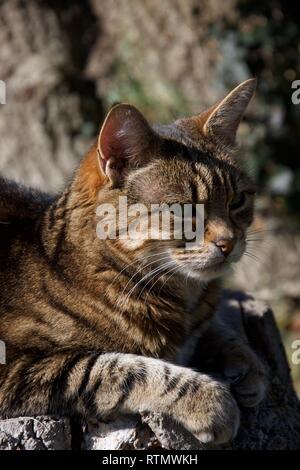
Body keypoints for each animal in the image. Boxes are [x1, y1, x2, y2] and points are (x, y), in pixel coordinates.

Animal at [0, 80, 268, 444]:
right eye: (183, 208)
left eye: (237, 200)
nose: (229, 242)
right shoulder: (15, 366)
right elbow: (116, 367)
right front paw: (210, 400)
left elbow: (220, 330)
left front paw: (248, 364)